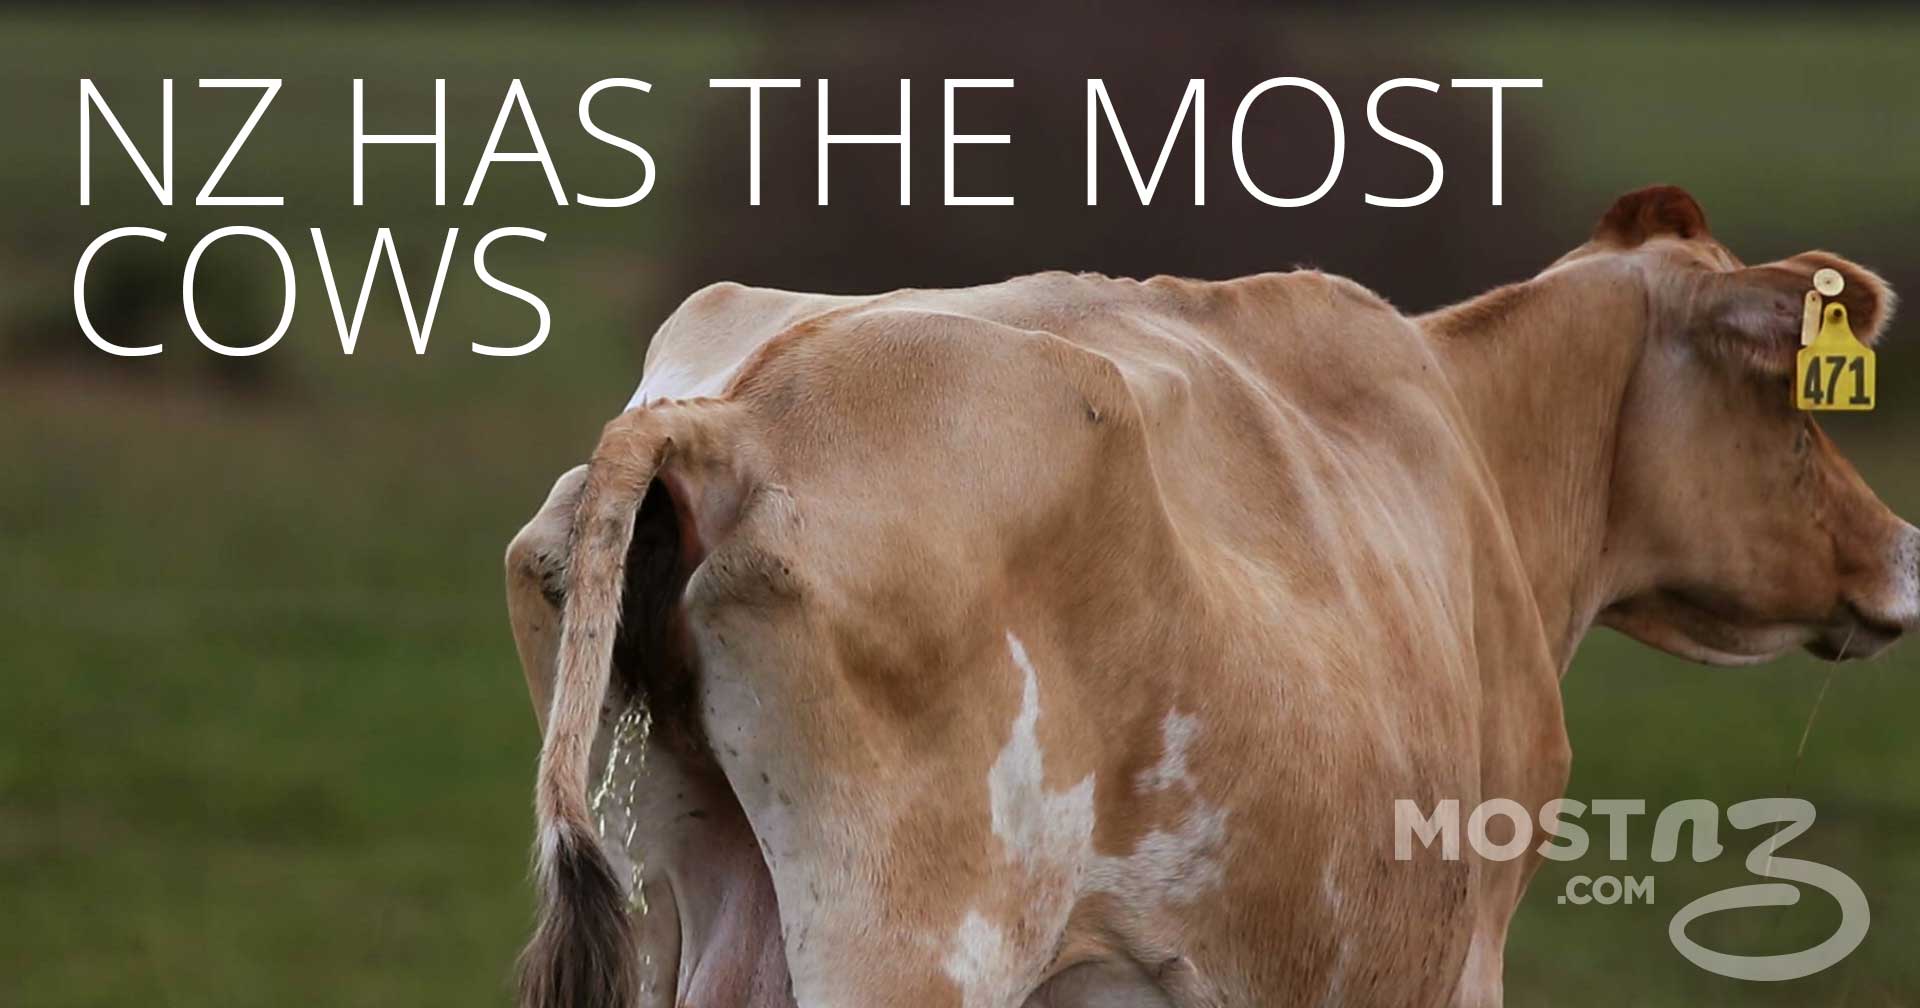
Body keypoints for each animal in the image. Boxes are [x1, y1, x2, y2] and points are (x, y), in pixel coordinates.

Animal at [504, 186, 1916, 1008]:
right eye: (1791, 398)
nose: (1903, 549)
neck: (1479, 443)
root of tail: (734, 411)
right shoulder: (1460, 953)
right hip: (915, 947)